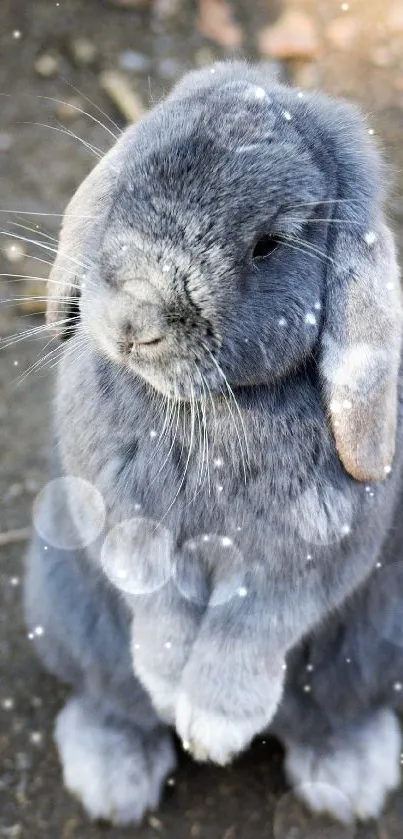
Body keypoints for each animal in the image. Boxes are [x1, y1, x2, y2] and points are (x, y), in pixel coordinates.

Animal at [24, 62, 403, 832]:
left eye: (268, 244)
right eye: (127, 182)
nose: (134, 321)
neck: (208, 412)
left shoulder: (302, 564)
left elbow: (249, 629)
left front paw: (214, 728)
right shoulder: (124, 529)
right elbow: (160, 609)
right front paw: (173, 689)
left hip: (375, 649)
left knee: (334, 713)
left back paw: (347, 779)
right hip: (66, 609)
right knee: (113, 699)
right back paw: (112, 780)